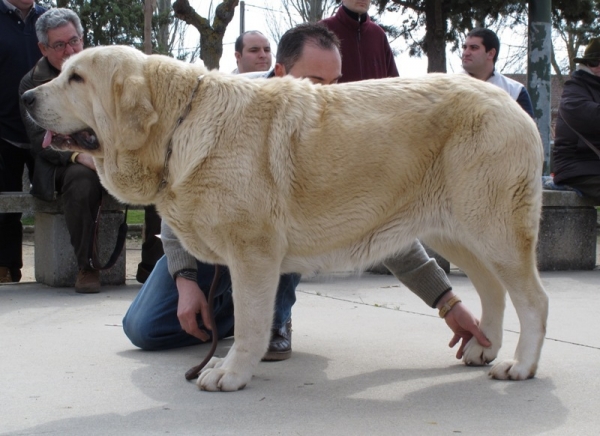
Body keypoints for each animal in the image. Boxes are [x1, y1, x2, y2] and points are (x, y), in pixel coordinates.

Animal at [22, 46, 548, 392]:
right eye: (61, 73)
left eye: (76, 78)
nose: (25, 97)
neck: (179, 125)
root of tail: (511, 102)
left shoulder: (252, 253)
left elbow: (250, 322)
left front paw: (230, 371)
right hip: (458, 230)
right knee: (494, 289)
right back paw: (483, 347)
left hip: (494, 229)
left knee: (533, 300)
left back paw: (520, 367)